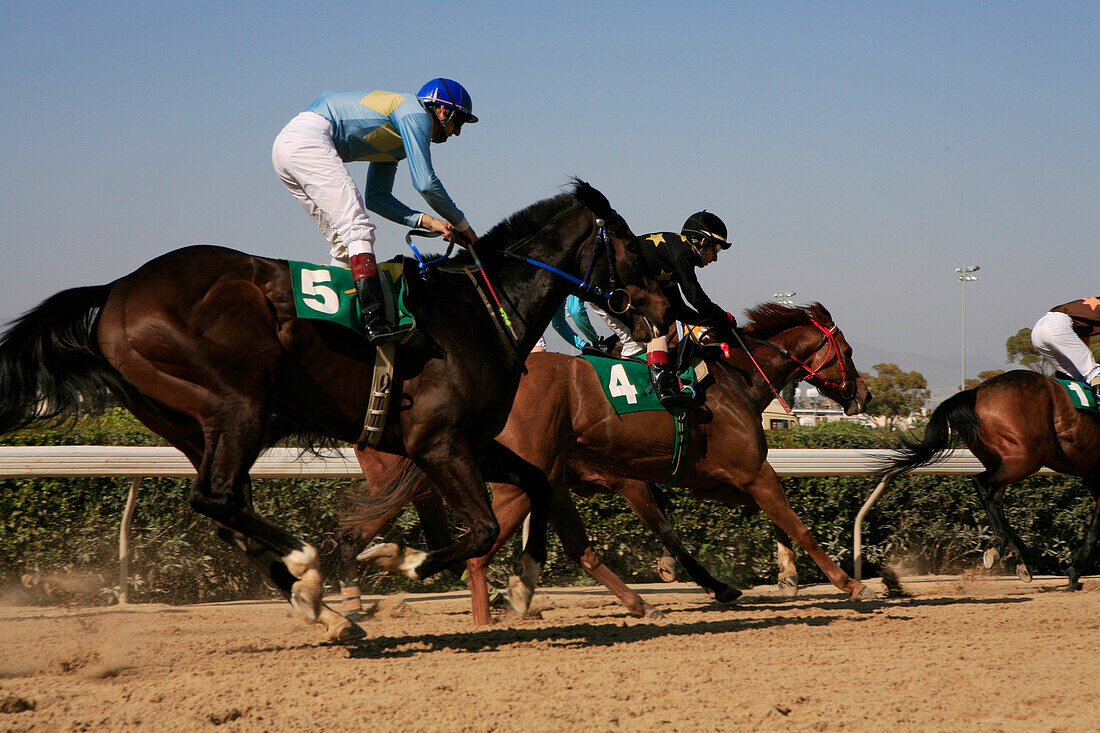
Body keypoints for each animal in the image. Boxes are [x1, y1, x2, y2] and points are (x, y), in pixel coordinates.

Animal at [0, 182, 668, 638]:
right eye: (634, 248)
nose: (663, 316)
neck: (479, 309)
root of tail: (116, 291)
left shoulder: (473, 441)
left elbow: (535, 483)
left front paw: (524, 587)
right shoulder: (437, 443)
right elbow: (479, 527)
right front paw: (400, 558)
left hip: (193, 426)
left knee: (228, 511)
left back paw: (320, 608)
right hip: (237, 406)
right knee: (217, 499)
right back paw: (308, 568)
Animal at [343, 299, 875, 620]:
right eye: (847, 349)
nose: (864, 395)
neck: (733, 381)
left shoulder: (716, 479)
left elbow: (771, 521)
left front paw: (783, 577)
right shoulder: (739, 471)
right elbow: (796, 524)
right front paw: (849, 583)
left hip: (543, 481)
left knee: (573, 547)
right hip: (517, 486)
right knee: (475, 549)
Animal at [875, 372, 1100, 589]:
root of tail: (976, 392)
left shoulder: (1092, 478)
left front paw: (1075, 569)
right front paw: (1075, 570)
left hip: (1000, 459)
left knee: (993, 496)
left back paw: (1018, 557)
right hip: (1026, 458)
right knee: (982, 484)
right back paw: (1004, 547)